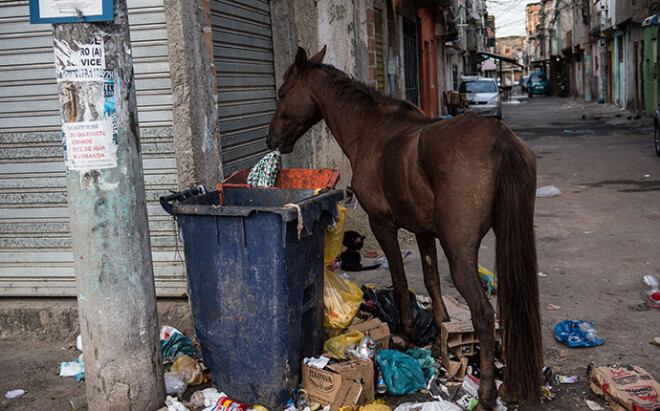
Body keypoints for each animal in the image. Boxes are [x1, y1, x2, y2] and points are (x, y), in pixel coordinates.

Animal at [268, 46, 540, 410]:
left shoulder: (382, 224)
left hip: (459, 251)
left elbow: (399, 279)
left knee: (483, 314)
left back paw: (487, 394)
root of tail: (501, 140)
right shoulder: (424, 231)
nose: (272, 139)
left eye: (284, 93)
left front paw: (409, 335)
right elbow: (431, 282)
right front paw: (440, 341)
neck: (371, 130)